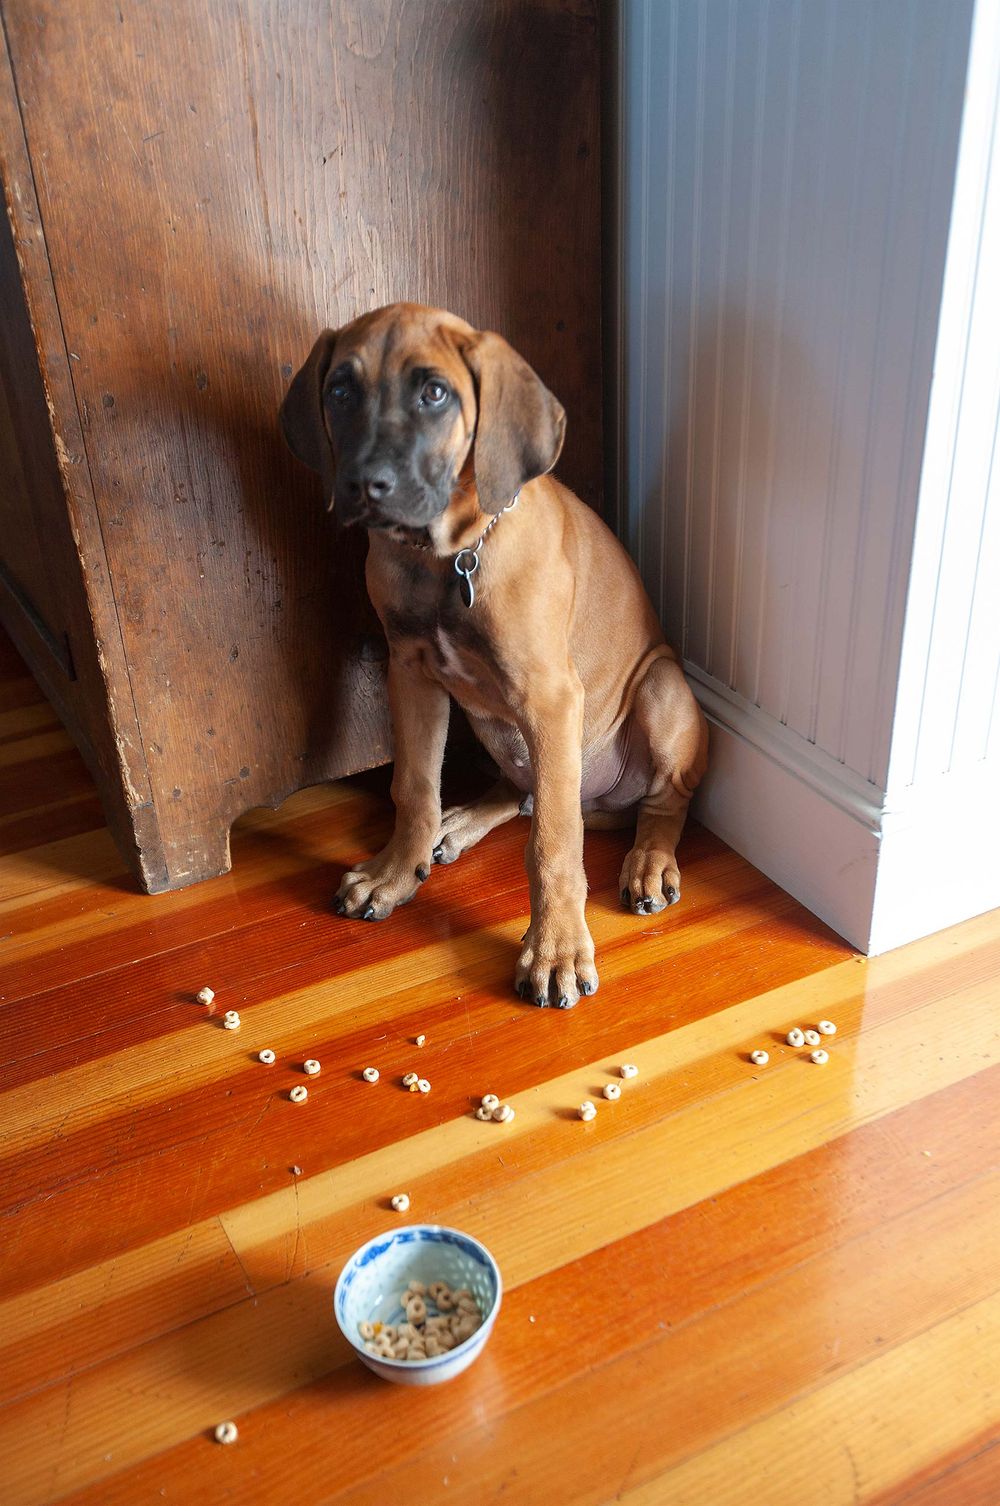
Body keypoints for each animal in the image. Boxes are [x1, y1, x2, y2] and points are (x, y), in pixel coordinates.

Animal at [277, 302, 707, 1012]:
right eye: (339, 391)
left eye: (434, 393)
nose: (365, 484)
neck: (447, 555)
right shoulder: (410, 672)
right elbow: (413, 784)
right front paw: (397, 870)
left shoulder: (550, 697)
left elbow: (554, 843)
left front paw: (556, 949)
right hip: (490, 722)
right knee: (520, 789)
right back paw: (458, 825)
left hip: (660, 686)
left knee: (658, 801)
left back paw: (649, 863)